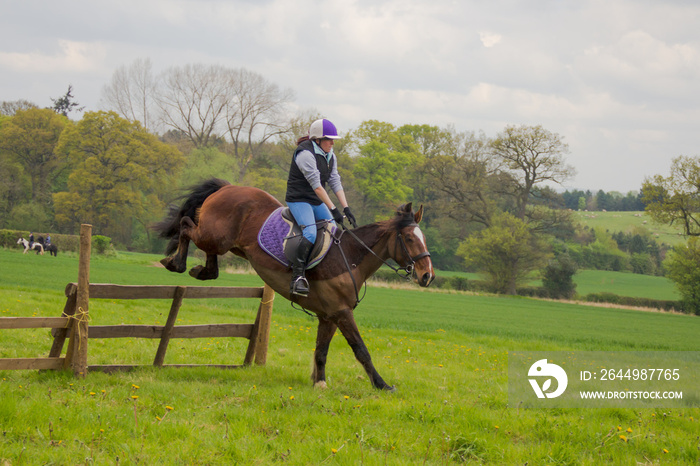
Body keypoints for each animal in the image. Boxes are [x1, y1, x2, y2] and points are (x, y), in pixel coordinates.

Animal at [156, 178, 434, 390]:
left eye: (423, 238)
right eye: (410, 238)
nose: (427, 276)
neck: (350, 256)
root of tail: (228, 187)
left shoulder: (329, 316)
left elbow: (321, 350)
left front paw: (319, 382)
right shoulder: (342, 312)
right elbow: (361, 350)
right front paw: (381, 384)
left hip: (225, 242)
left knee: (206, 252)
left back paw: (201, 270)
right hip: (214, 235)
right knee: (186, 226)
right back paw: (176, 262)